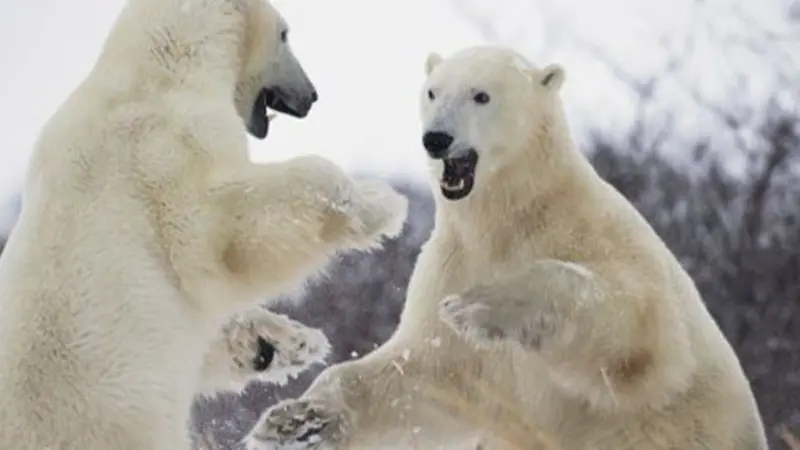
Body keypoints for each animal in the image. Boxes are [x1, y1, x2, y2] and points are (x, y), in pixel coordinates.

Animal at [0, 0, 406, 450]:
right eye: (285, 34)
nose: (312, 95)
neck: (155, 71)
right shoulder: (169, 147)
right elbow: (224, 230)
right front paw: (380, 202)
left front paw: (285, 342)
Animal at [245, 45, 768, 450]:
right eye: (433, 91)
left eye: (481, 95)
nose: (437, 139)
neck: (508, 218)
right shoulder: (453, 262)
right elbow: (423, 376)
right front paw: (292, 419)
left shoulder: (599, 243)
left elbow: (635, 324)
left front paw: (478, 308)